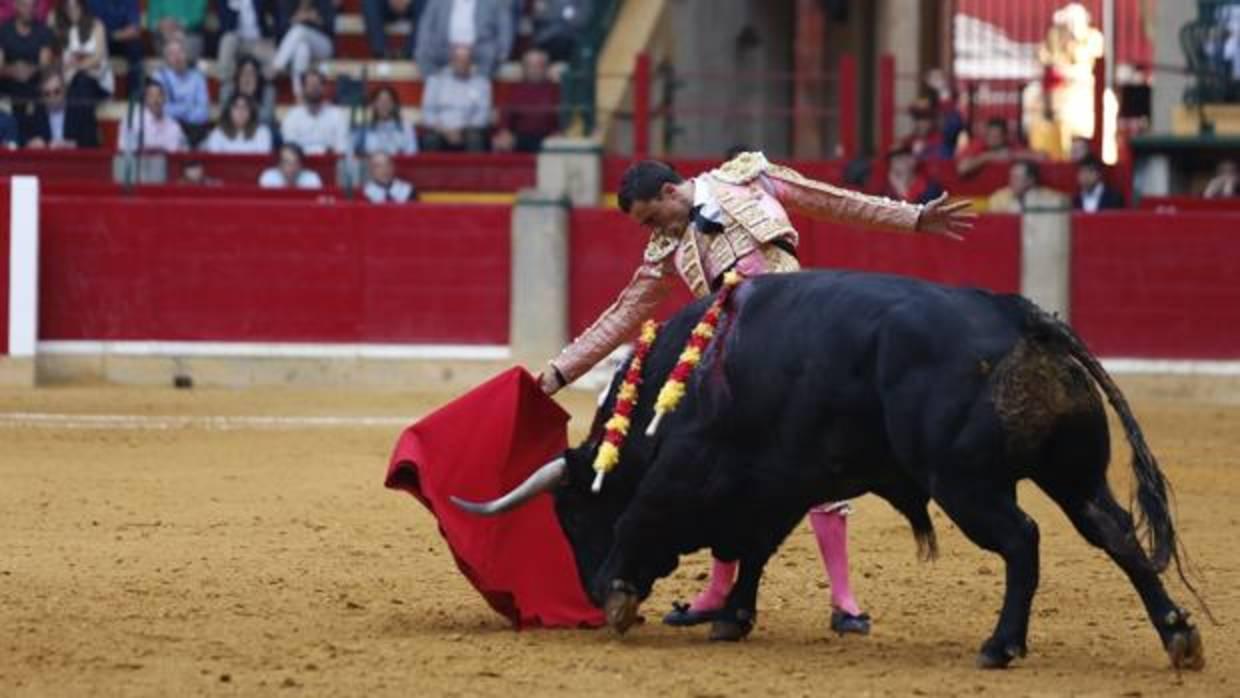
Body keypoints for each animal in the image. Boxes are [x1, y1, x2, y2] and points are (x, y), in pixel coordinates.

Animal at [453, 271, 1200, 669]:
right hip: (1073, 474)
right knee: (1117, 535)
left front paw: (619, 594)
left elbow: (647, 514)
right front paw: (730, 616)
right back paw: (1179, 637)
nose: (582, 588)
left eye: (575, 513)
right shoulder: (780, 481)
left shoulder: (691, 463)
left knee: (1022, 540)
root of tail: (1021, 317)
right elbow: (753, 548)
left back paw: (1000, 645)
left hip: (966, 484)